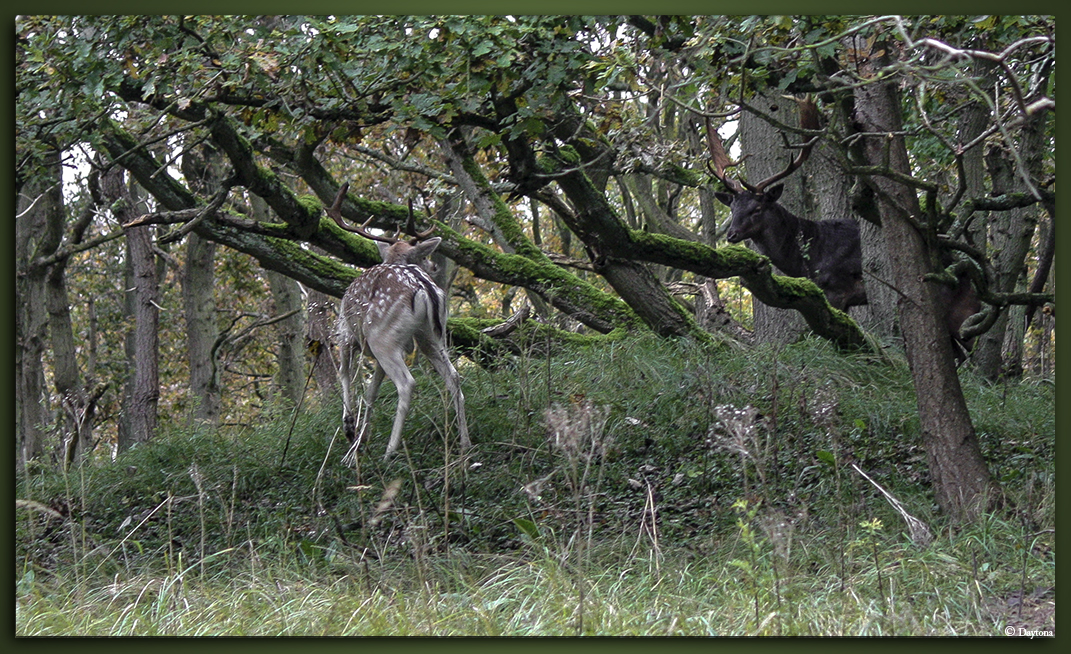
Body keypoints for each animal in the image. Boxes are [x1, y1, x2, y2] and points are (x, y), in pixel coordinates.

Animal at [328, 183, 470, 460]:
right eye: (423, 255)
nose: (433, 265)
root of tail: (424, 287)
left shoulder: (346, 333)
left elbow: (344, 373)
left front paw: (350, 431)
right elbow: (371, 392)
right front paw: (361, 438)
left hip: (382, 337)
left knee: (407, 383)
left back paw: (390, 451)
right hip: (431, 336)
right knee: (454, 376)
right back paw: (465, 444)